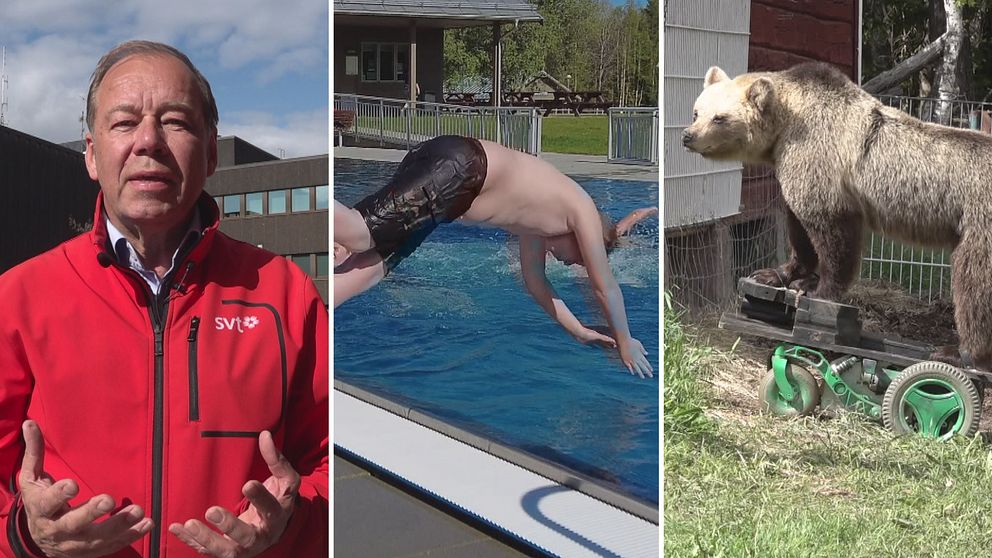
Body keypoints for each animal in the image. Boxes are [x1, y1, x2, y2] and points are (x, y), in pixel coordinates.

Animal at [684, 62, 992, 372]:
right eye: (697, 111)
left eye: (720, 118)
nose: (688, 135)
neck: (784, 126)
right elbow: (799, 230)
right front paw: (775, 273)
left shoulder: (818, 158)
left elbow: (832, 233)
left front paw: (817, 290)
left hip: (979, 222)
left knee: (973, 282)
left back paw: (958, 352)